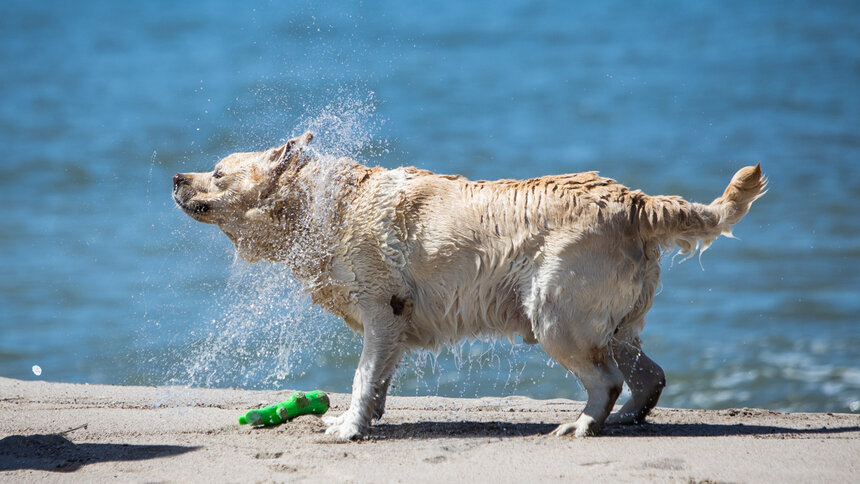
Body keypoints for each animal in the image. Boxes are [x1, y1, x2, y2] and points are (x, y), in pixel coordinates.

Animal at [173, 132, 764, 438]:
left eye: (219, 173)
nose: (177, 177)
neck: (321, 207)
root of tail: (634, 200)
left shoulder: (381, 307)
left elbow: (363, 375)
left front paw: (347, 425)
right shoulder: (392, 323)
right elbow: (378, 377)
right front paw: (369, 415)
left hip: (555, 312)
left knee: (606, 378)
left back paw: (581, 425)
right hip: (611, 316)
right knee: (648, 373)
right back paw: (624, 419)